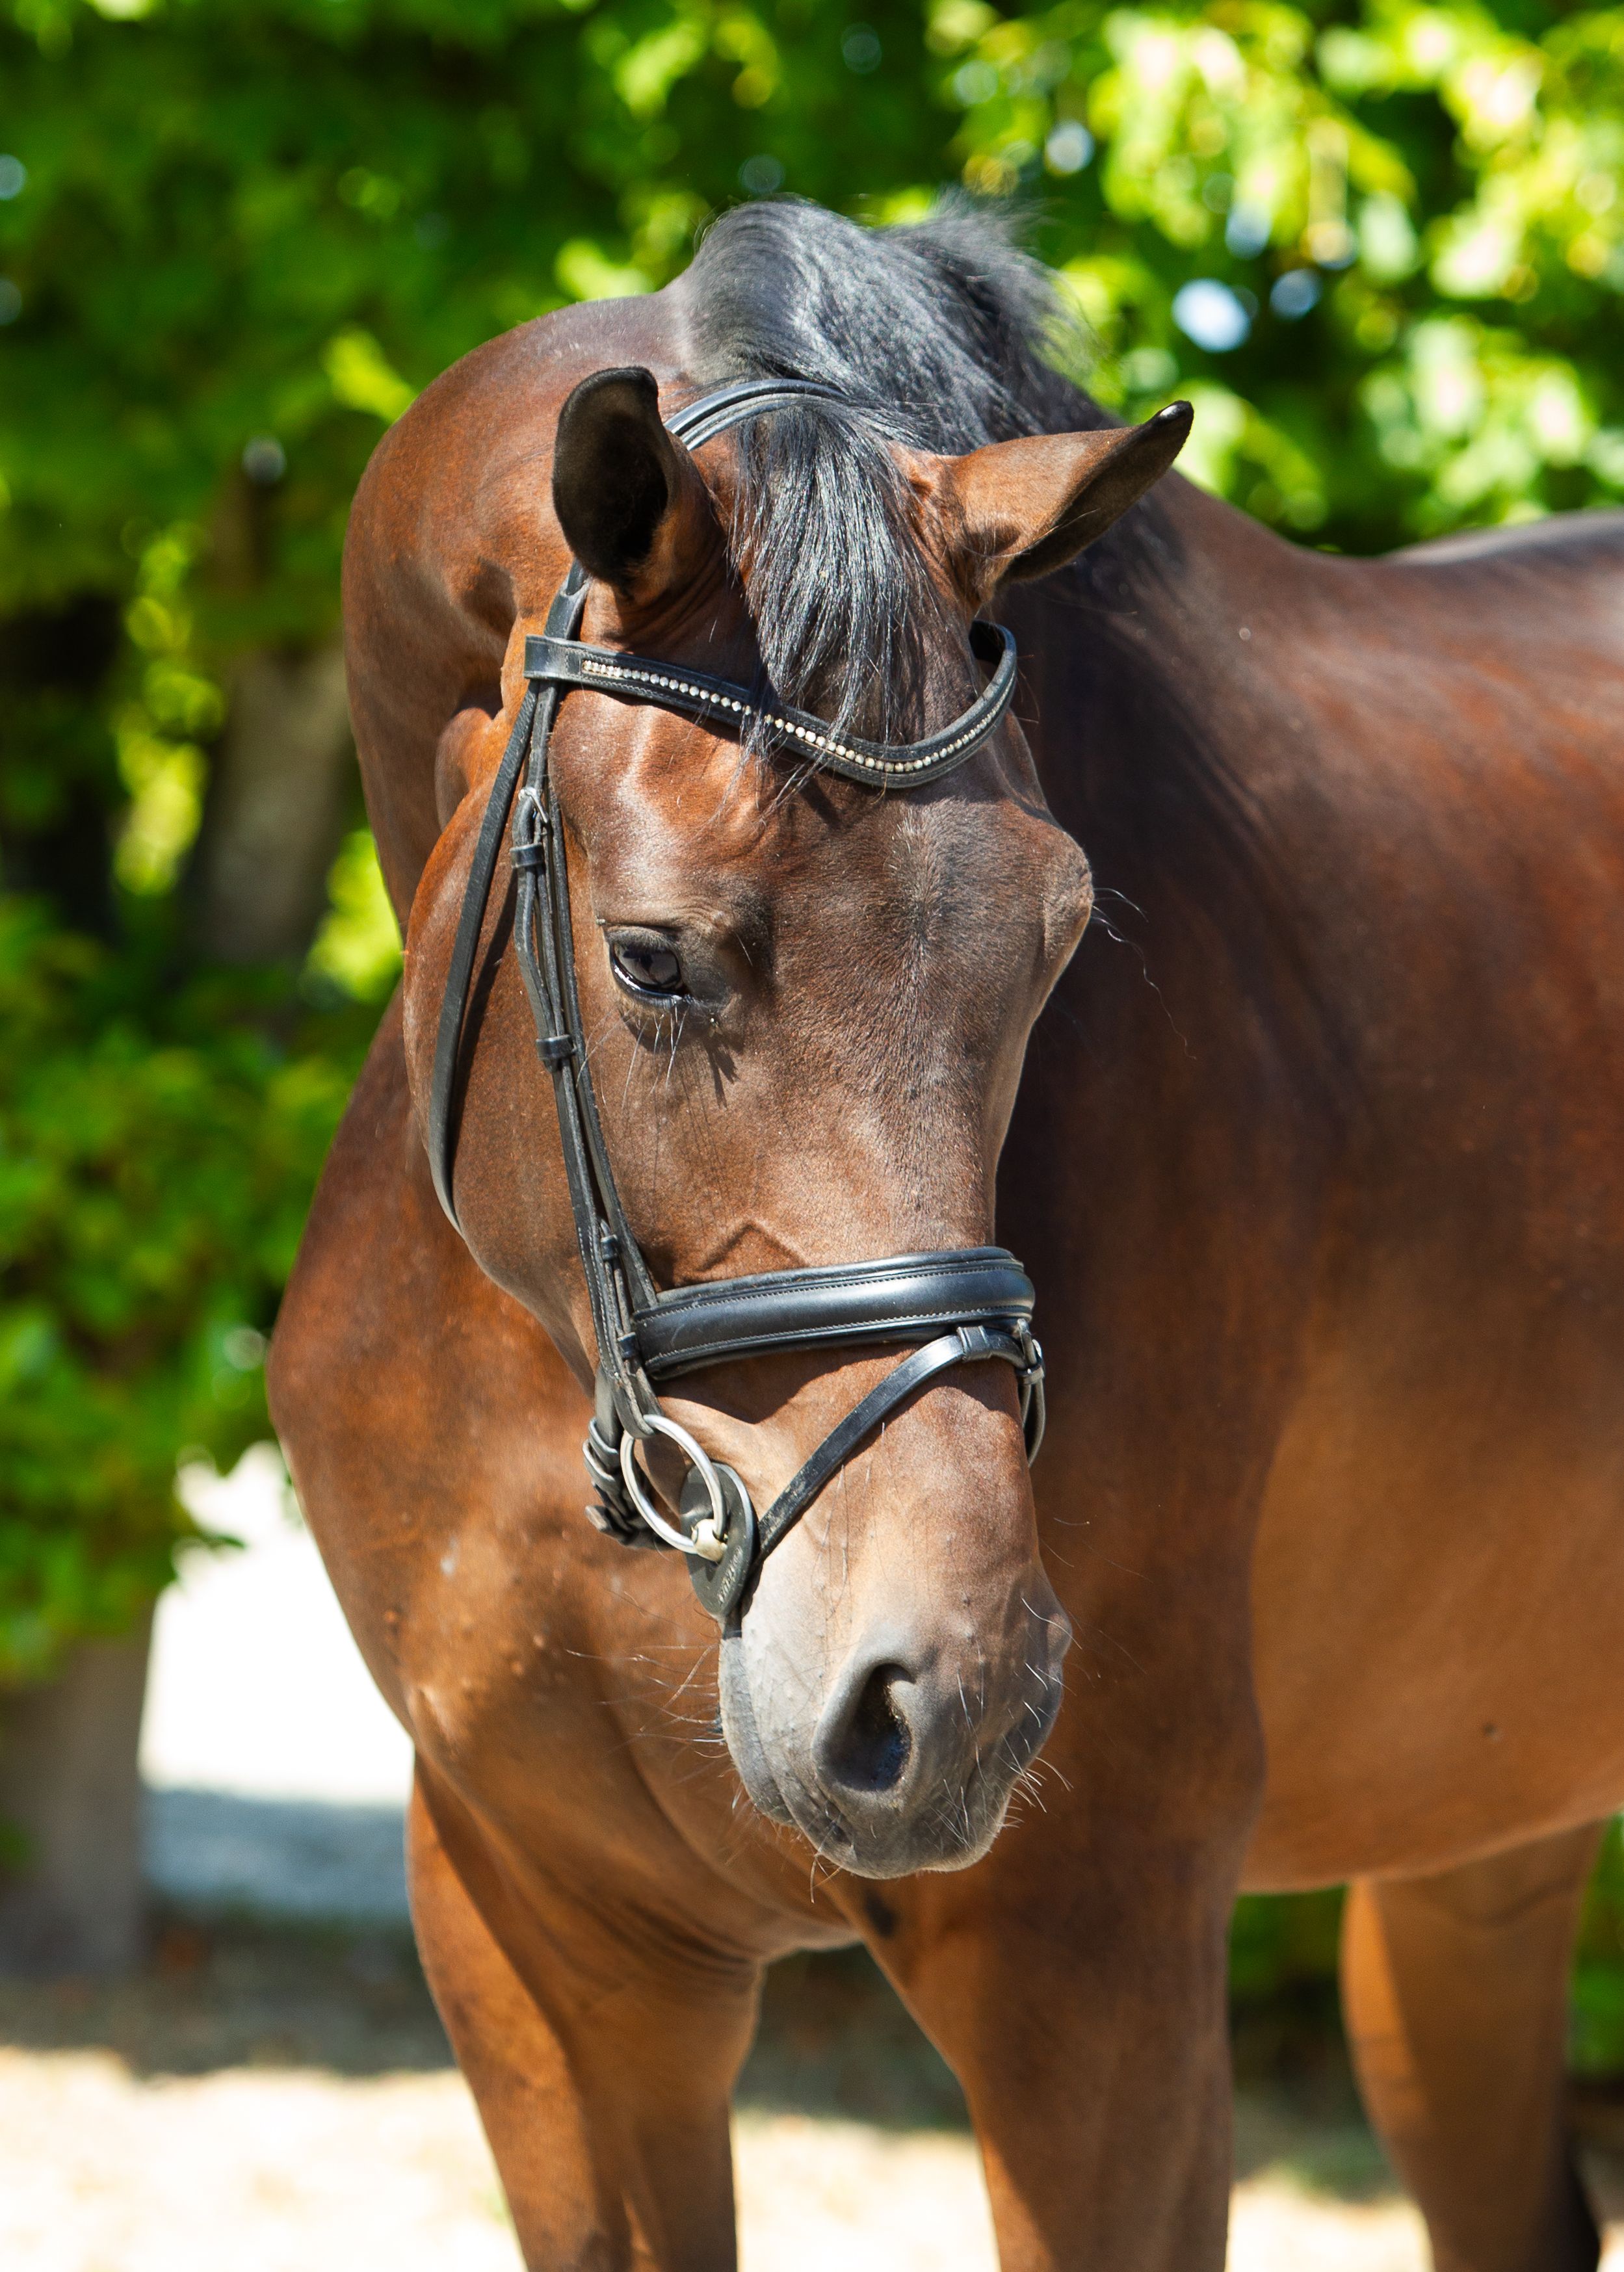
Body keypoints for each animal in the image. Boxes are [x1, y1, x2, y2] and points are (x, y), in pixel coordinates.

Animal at [269, 197, 1624, 2271]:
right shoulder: (543, 1944)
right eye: (649, 958)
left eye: (1059, 939)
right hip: (1482, 1838)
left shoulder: (1091, 1963)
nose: (951, 1694)